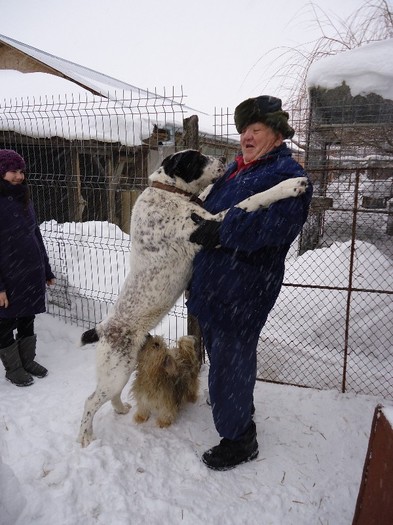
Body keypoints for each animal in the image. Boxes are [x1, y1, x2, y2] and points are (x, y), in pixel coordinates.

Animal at [78, 148, 308, 446]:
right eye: (196, 158)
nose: (224, 159)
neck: (168, 190)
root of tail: (103, 328)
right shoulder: (210, 226)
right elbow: (251, 200)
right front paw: (291, 185)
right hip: (115, 372)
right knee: (90, 402)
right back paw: (85, 436)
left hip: (122, 368)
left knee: (109, 395)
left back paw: (120, 408)